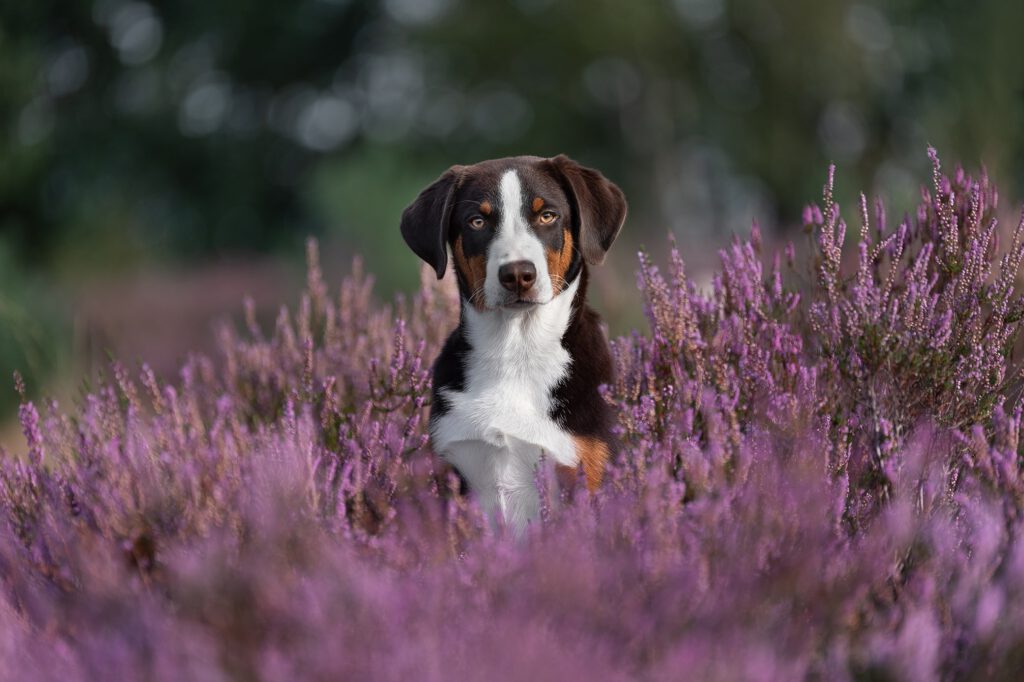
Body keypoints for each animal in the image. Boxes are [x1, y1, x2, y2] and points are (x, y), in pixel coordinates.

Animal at [397, 155, 622, 536]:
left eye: (547, 216)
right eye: (477, 221)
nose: (518, 274)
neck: (515, 351)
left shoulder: (586, 471)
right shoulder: (455, 474)